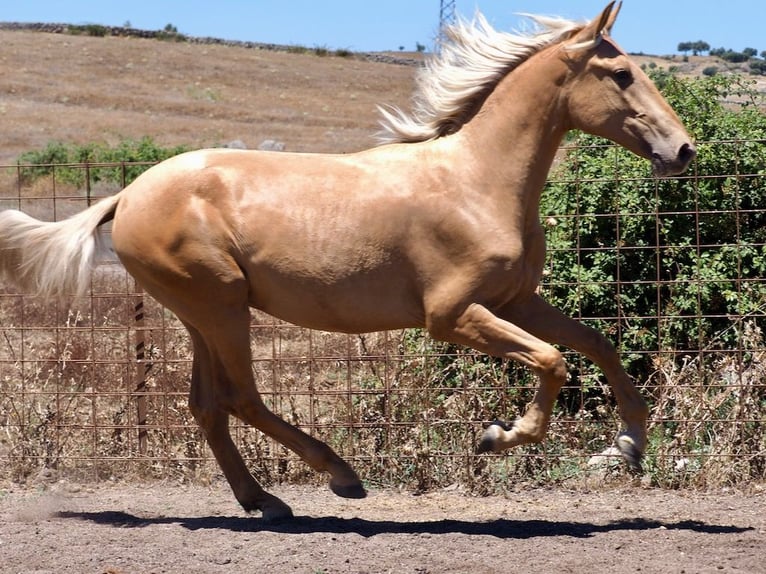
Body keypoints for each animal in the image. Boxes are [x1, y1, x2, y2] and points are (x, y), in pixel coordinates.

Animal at [0, 1, 696, 520]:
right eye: (622, 74)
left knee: (208, 405)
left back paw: (264, 500)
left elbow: (596, 346)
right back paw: (339, 475)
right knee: (242, 397)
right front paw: (499, 436)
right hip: (219, 306)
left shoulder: (515, 300)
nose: (683, 150)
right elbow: (553, 361)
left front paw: (627, 447)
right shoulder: (451, 315)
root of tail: (126, 194)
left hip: (201, 313)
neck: (477, 181)